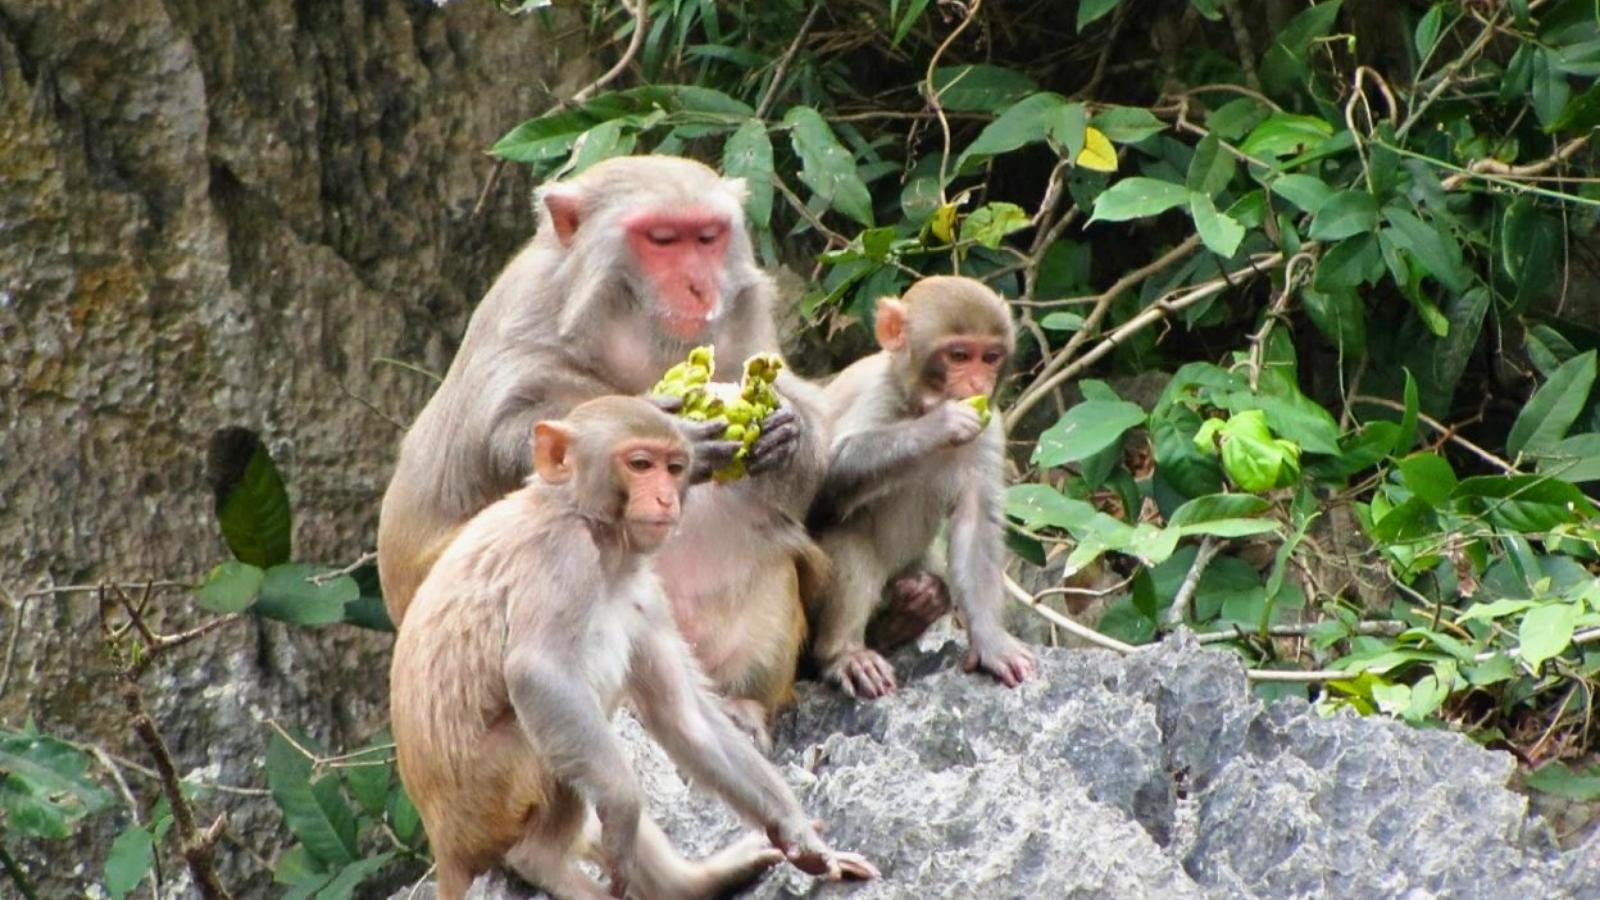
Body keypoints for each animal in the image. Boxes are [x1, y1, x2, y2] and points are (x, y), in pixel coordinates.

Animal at [377, 156, 832, 745]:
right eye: (662, 240)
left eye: (707, 237)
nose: (699, 285)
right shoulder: (524, 313)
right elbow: (513, 434)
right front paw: (667, 424)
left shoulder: (744, 321)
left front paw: (786, 431)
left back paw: (740, 705)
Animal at [390, 396, 877, 900]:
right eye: (640, 465)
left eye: (674, 467)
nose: (665, 497)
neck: (592, 526)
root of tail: (443, 842)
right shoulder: (564, 556)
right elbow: (536, 672)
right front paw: (624, 807)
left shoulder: (645, 592)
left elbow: (684, 717)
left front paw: (802, 839)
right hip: (490, 797)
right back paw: (543, 860)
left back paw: (692, 883)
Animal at [805, 275, 1039, 699]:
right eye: (959, 355)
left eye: (991, 357)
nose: (978, 383)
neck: (913, 403)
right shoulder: (875, 396)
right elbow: (817, 479)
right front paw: (939, 425)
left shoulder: (990, 428)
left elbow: (975, 523)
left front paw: (992, 643)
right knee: (848, 530)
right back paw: (844, 653)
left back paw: (909, 611)